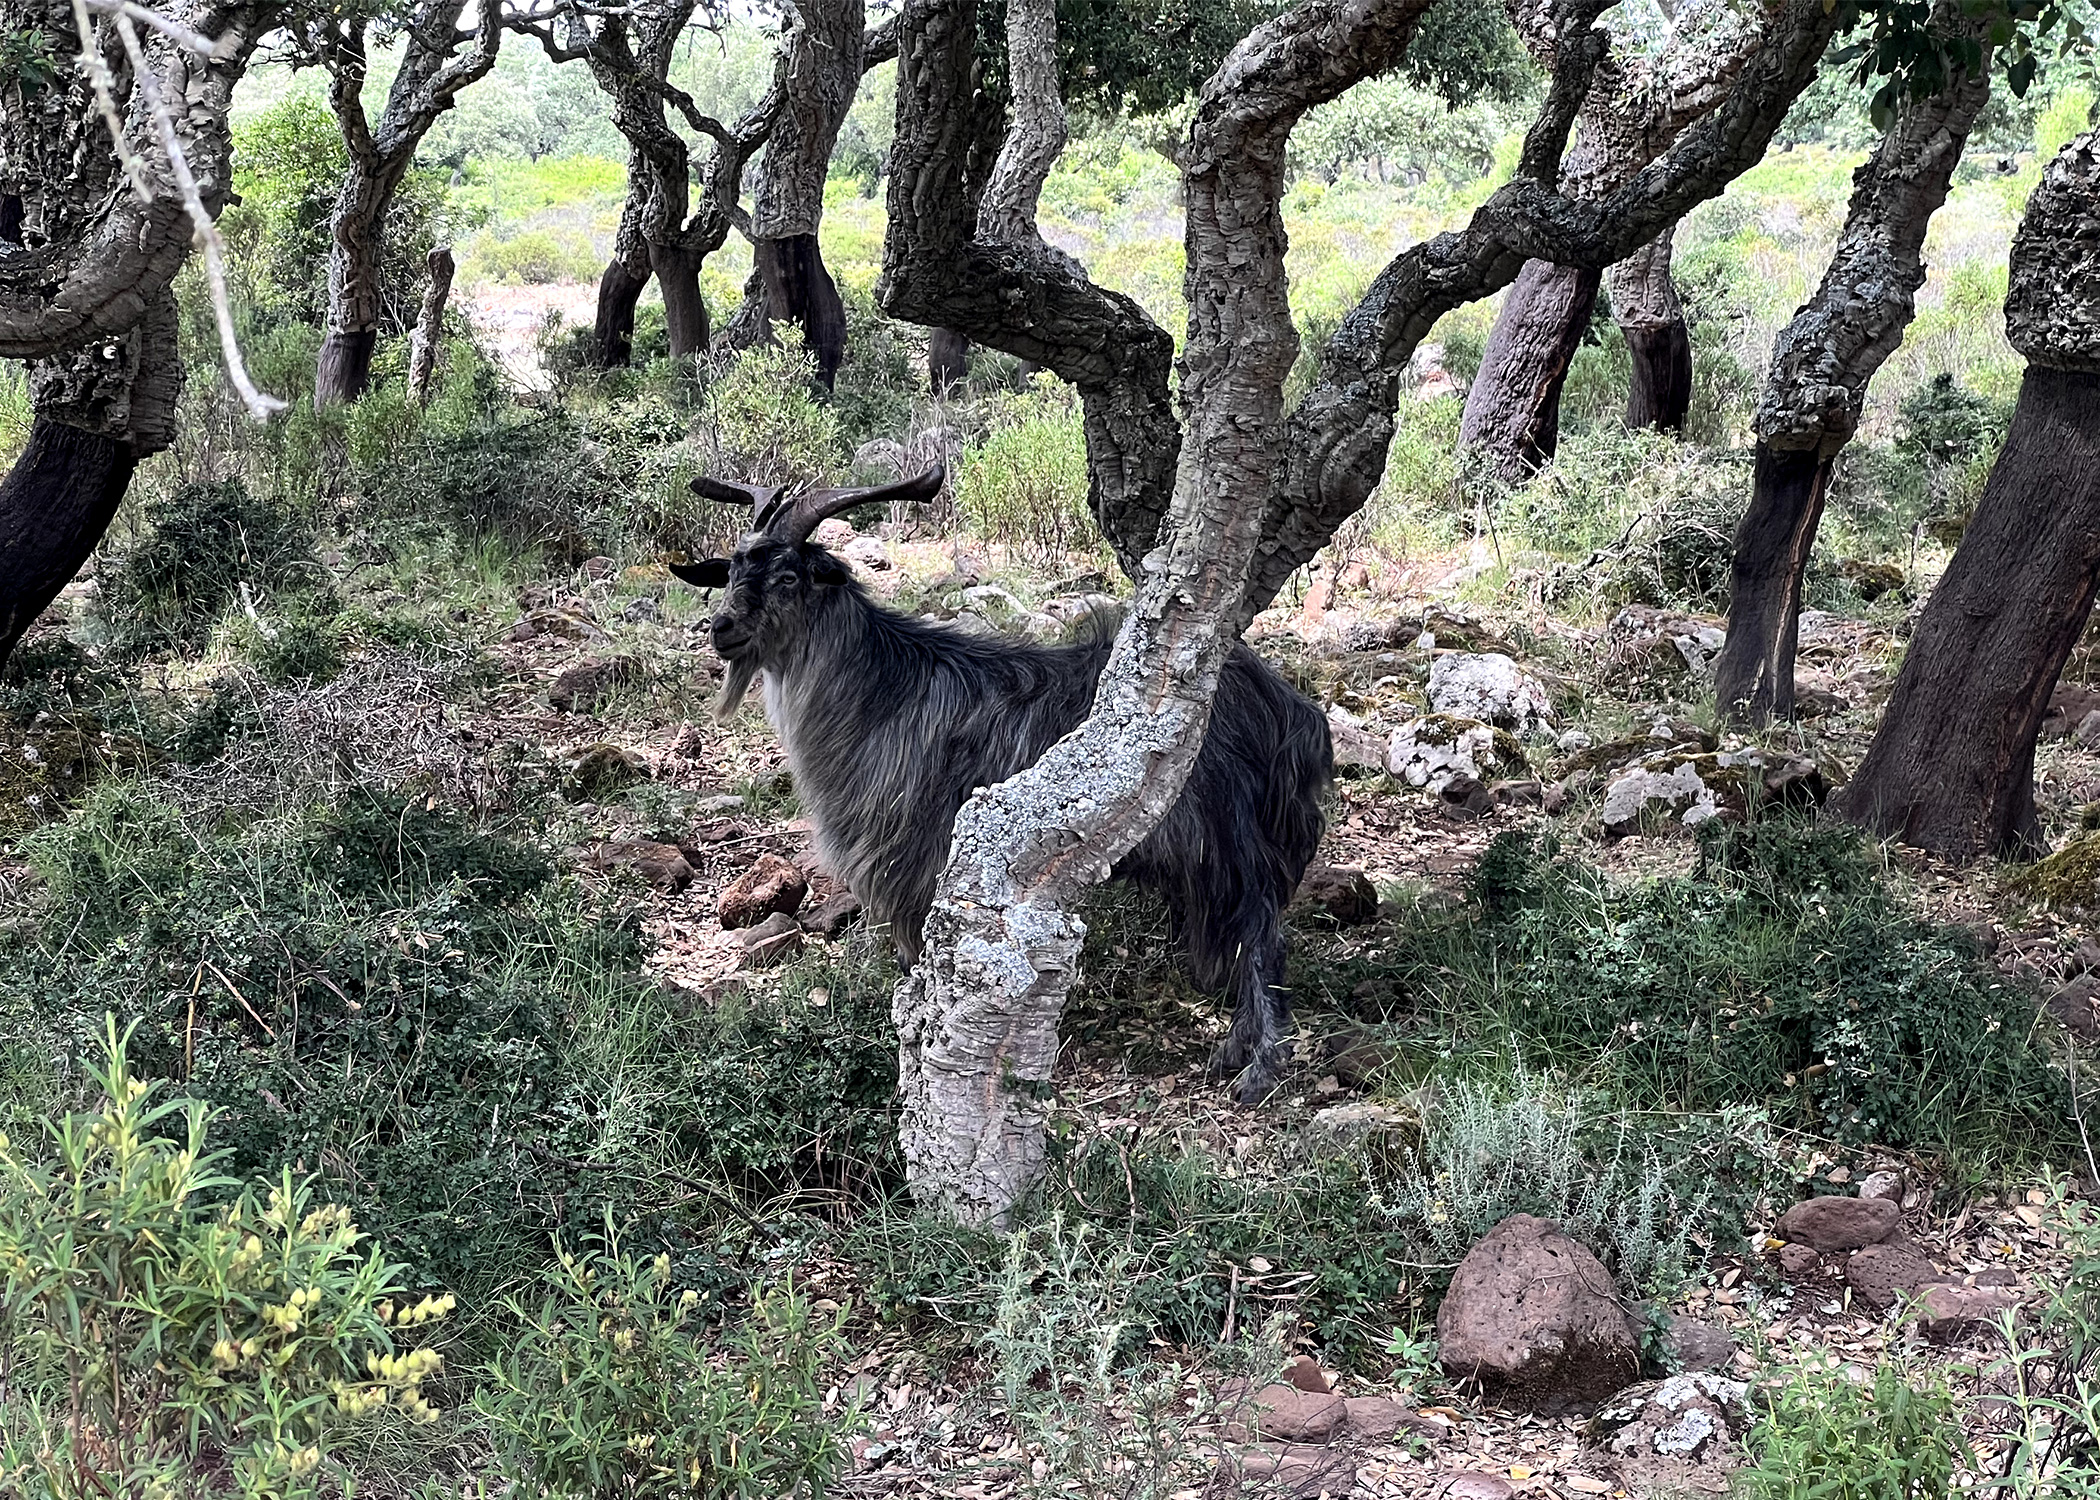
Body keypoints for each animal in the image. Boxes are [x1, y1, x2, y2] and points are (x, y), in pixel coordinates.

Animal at [670, 466, 1332, 1101]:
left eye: (788, 577)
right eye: (731, 570)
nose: (721, 629)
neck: (885, 689)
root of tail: (1291, 711)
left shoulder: (914, 864)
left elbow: (916, 960)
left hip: (1229, 834)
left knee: (1263, 931)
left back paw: (1258, 1067)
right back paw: (1236, 1048)